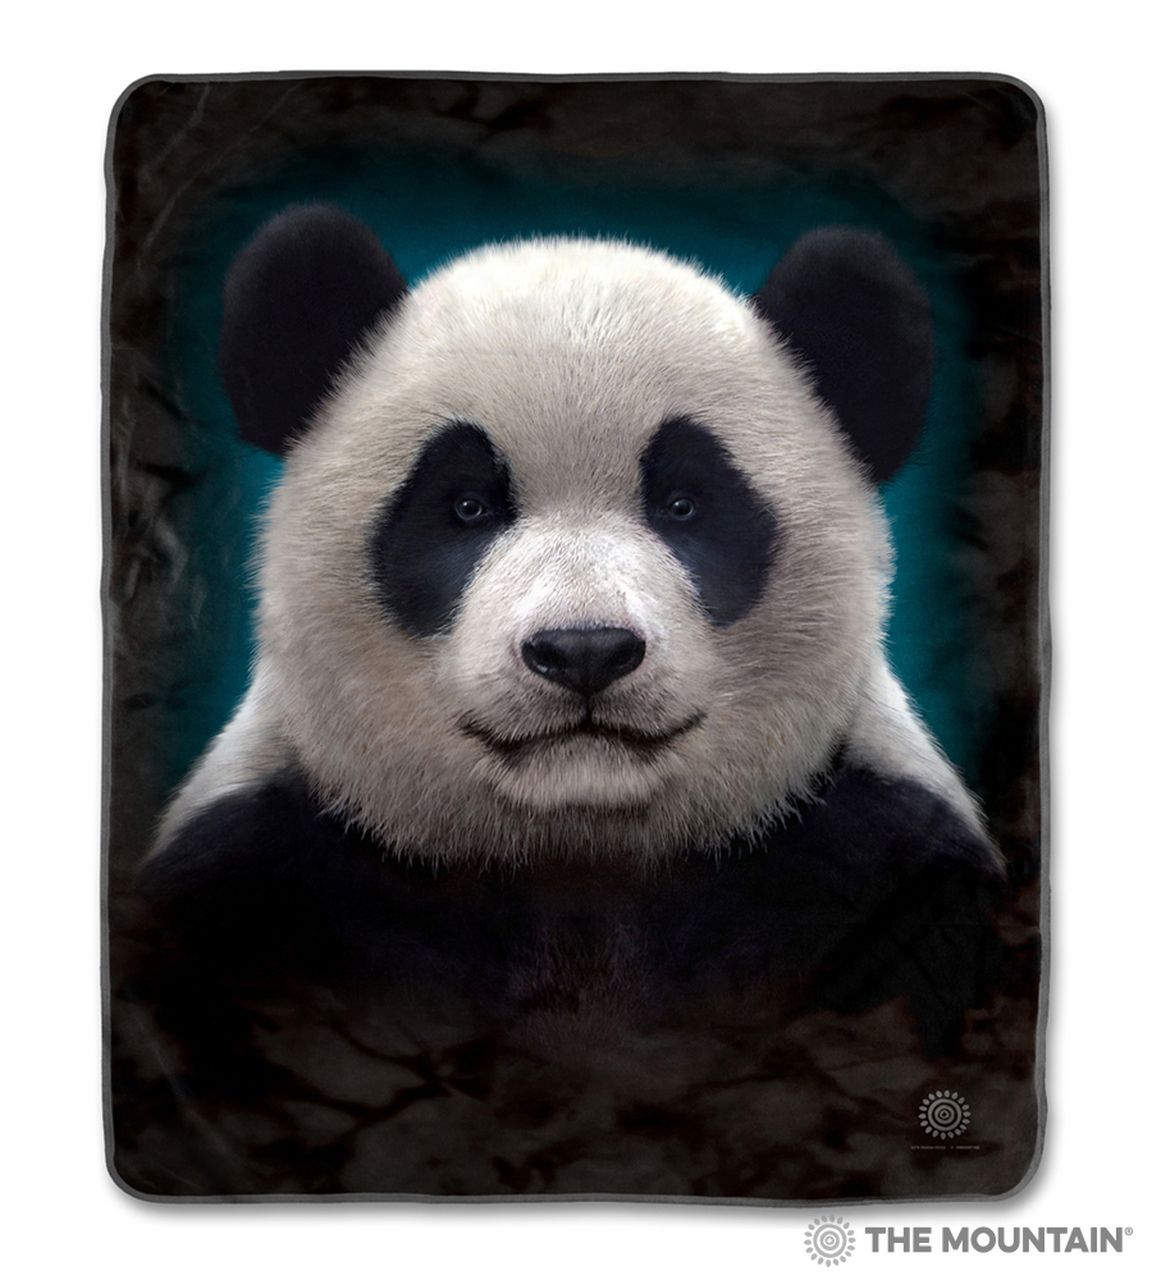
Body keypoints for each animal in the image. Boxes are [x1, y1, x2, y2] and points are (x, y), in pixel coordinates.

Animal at [133, 208, 1006, 1187]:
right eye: (466, 507)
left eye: (684, 504)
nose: (584, 650)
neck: (575, 856)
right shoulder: (266, 874)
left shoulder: (877, 868)